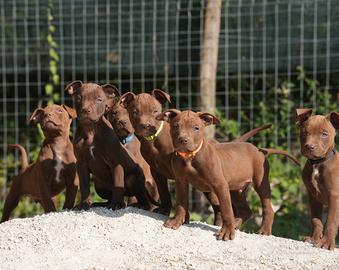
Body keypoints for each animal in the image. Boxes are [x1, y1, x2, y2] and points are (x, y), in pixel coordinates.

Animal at [65, 80, 153, 211]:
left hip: (133, 178)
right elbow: (84, 186)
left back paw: (137, 205)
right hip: (99, 184)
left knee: (139, 197)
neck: (91, 130)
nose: (86, 110)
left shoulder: (116, 162)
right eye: (79, 98)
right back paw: (100, 204)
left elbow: (118, 183)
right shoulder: (81, 163)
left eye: (99, 100)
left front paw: (117, 204)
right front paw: (84, 204)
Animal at [122, 89, 274, 223]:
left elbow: (182, 200)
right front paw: (165, 210)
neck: (154, 140)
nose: (146, 125)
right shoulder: (157, 171)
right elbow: (165, 193)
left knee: (219, 206)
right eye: (135, 112)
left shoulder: (179, 173)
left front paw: (184, 219)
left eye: (155, 111)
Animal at [294, 108, 339, 251]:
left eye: (324, 134)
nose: (310, 147)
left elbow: (331, 220)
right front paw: (314, 239)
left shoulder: (334, 196)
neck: (317, 164)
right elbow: (315, 219)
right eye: (304, 132)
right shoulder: (313, 196)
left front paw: (326, 242)